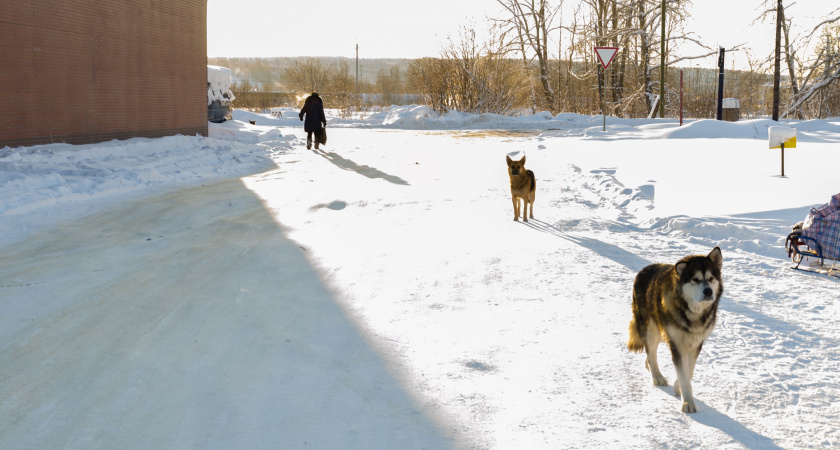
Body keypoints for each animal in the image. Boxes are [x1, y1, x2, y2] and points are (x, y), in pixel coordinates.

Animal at [632, 248, 720, 414]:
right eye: (695, 279)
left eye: (711, 278)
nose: (708, 291)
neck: (692, 313)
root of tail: (644, 270)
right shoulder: (676, 344)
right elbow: (683, 373)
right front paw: (688, 402)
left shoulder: (696, 343)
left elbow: (689, 370)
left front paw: (678, 387)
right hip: (651, 328)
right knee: (651, 352)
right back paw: (657, 376)